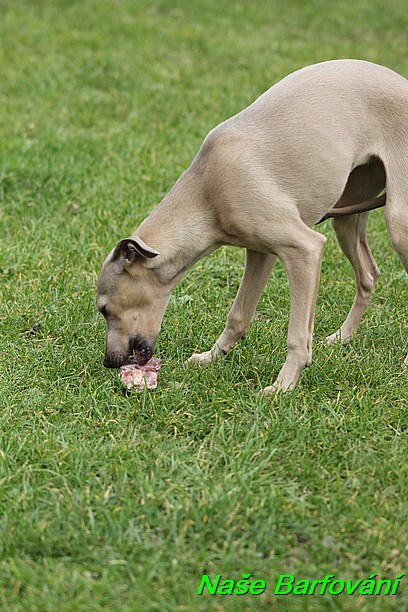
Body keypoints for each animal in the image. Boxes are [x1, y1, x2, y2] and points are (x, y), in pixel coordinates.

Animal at [97, 58, 406, 392]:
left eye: (104, 309)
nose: (109, 362)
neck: (207, 190)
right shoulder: (262, 252)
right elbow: (239, 316)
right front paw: (211, 357)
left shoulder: (305, 249)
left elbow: (297, 335)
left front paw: (284, 386)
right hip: (348, 212)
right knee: (368, 274)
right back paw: (343, 336)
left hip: (397, 221)